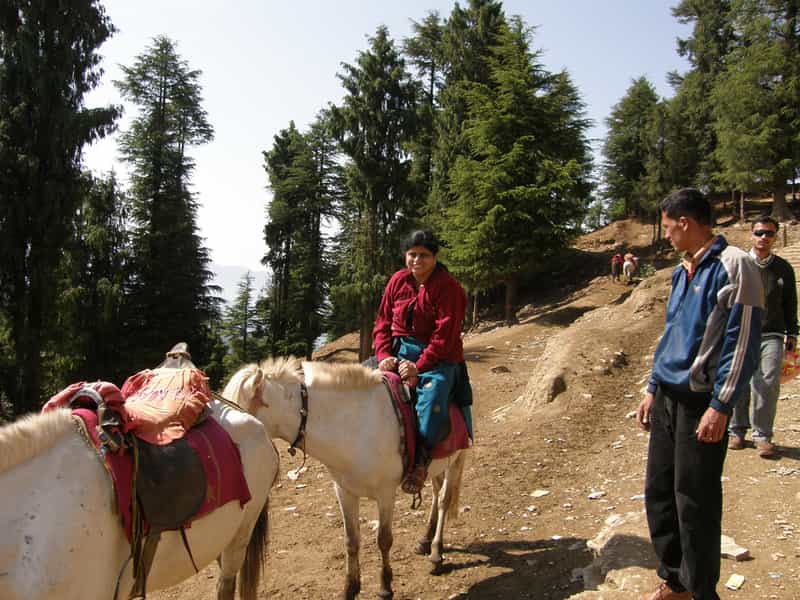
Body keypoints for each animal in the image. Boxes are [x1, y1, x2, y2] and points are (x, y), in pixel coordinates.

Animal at [222, 358, 466, 596]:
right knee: (436, 492)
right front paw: (351, 588)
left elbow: (384, 540)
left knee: (444, 500)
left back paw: (436, 553)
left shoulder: (386, 494)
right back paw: (425, 540)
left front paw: (385, 586)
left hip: (455, 461)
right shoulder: (344, 491)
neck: (356, 427)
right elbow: (351, 541)